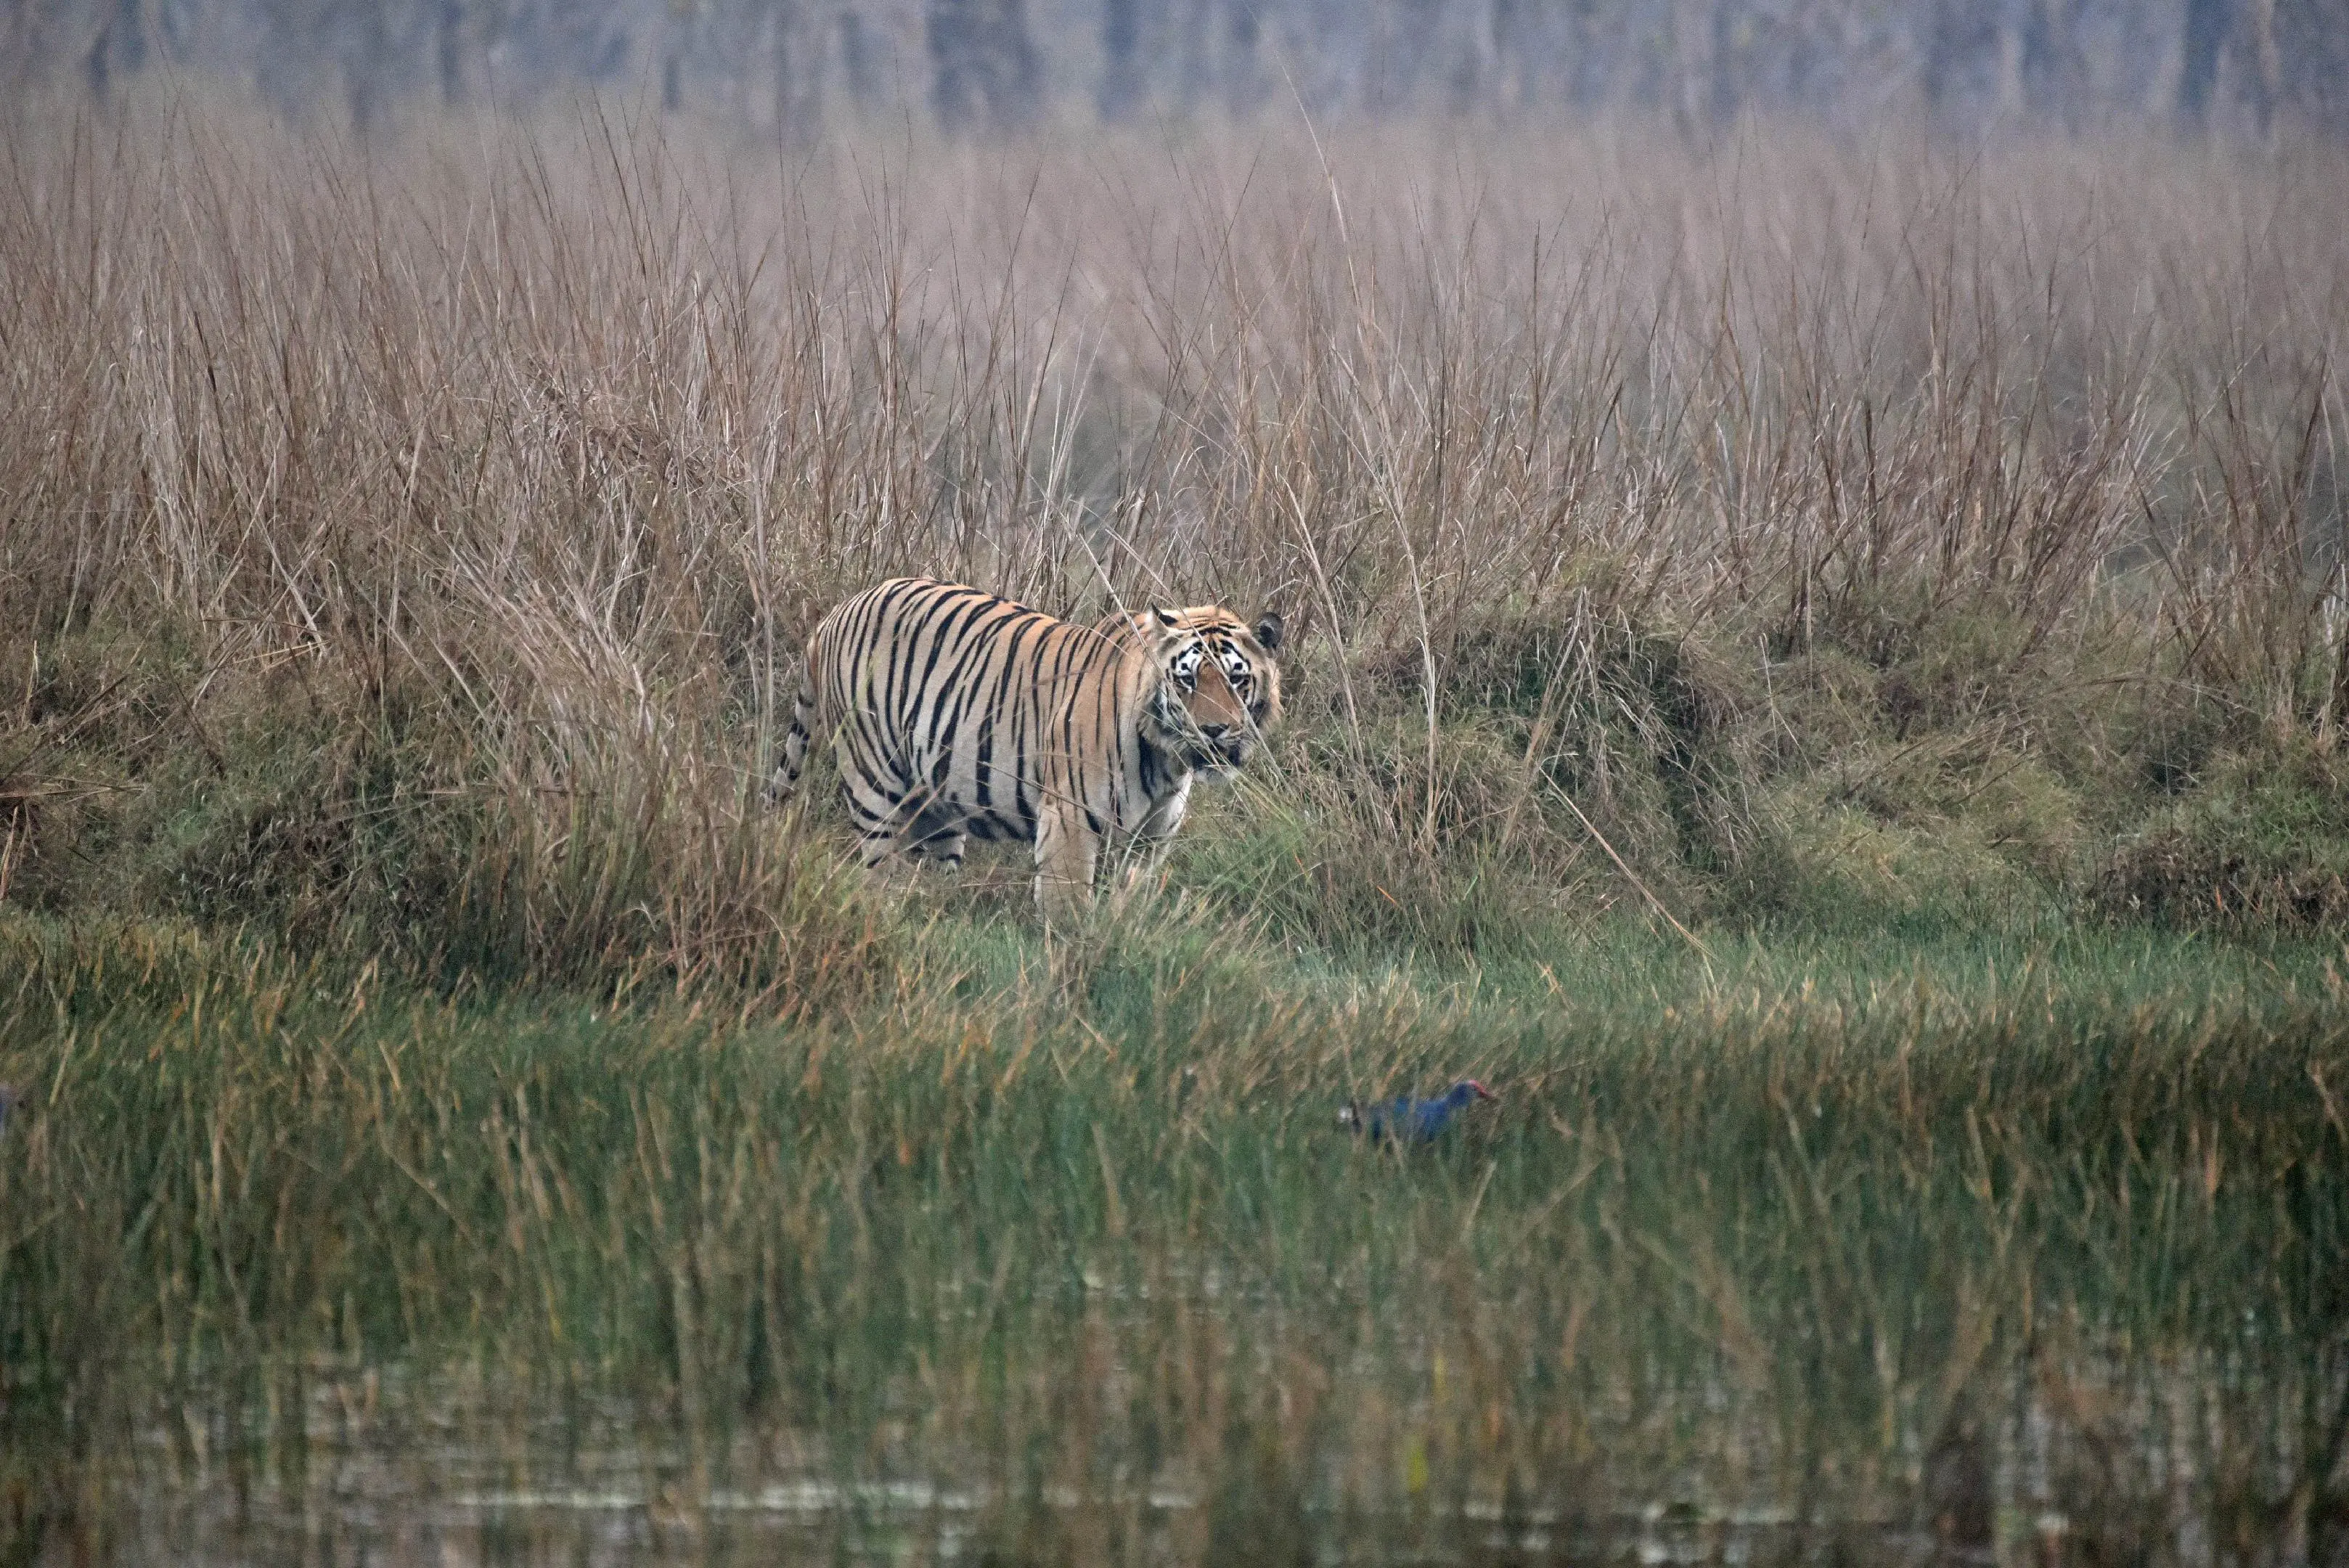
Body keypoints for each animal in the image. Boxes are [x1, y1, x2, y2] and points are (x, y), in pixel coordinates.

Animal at [765, 583, 1287, 912]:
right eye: (1187, 681)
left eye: (1237, 680)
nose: (1215, 730)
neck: (1167, 761)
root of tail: (832, 617)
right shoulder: (1070, 822)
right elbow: (1069, 911)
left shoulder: (1149, 843)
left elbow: (1128, 904)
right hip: (873, 784)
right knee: (879, 873)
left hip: (937, 803)